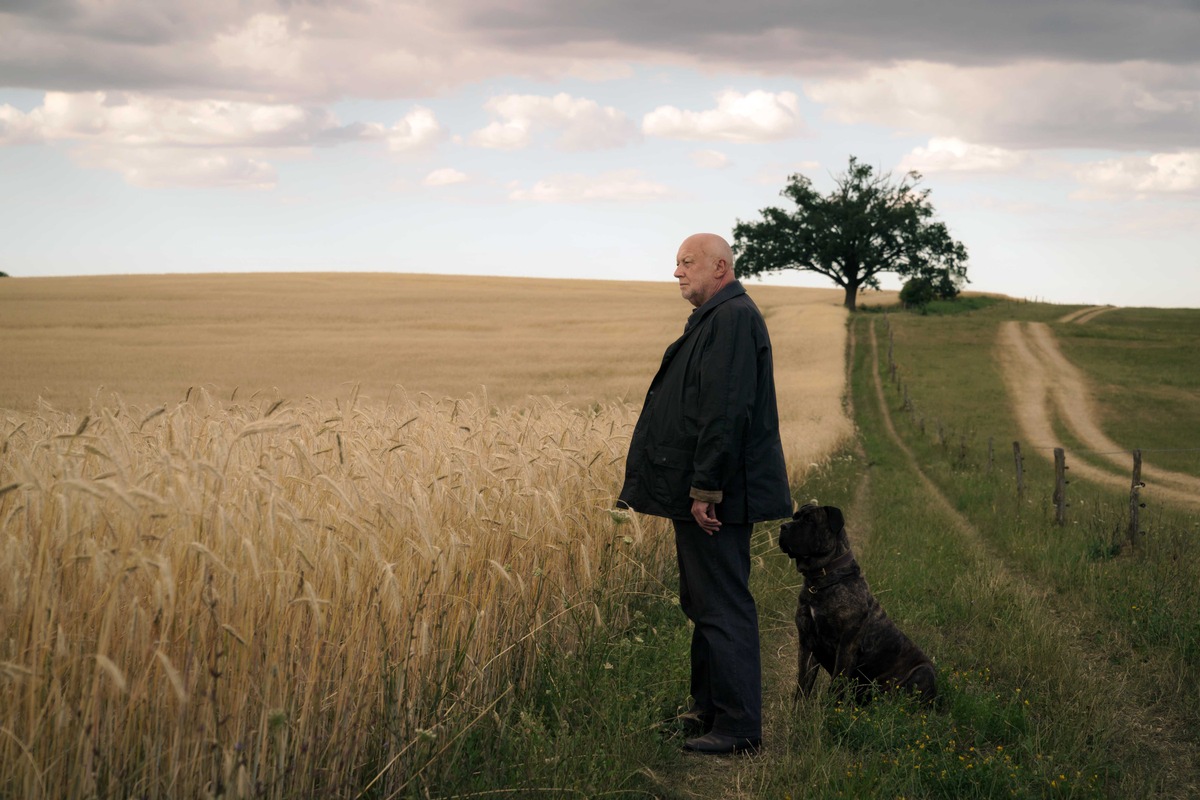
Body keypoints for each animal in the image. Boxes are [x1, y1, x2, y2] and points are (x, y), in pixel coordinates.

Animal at [777, 503, 936, 705]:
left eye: (809, 520)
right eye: (795, 517)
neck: (821, 581)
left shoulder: (846, 645)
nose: (783, 526)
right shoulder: (807, 642)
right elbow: (803, 684)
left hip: (924, 671)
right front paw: (798, 711)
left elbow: (835, 686)